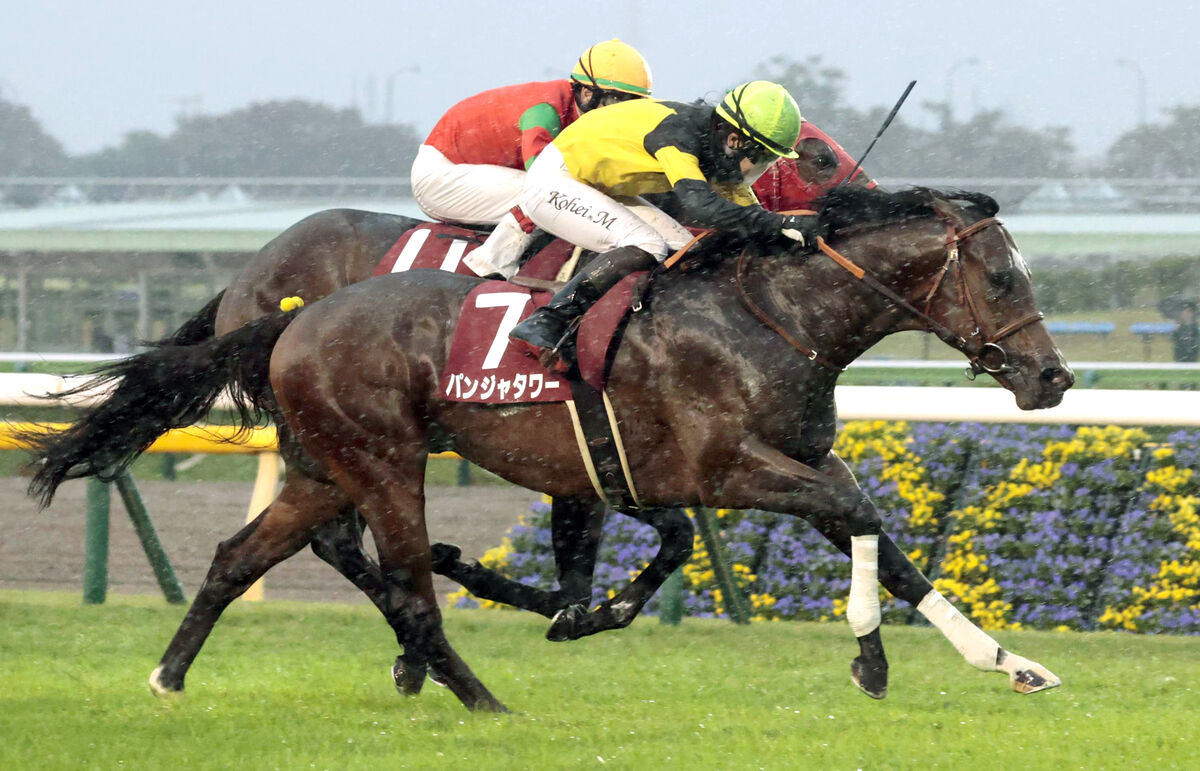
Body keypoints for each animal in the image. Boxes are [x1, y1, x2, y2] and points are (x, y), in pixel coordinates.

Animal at [25, 187, 1080, 710]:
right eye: (1000, 274)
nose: (1054, 377)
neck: (772, 316)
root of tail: (283, 310)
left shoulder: (789, 462)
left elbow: (888, 547)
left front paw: (1010, 663)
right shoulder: (728, 470)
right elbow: (855, 519)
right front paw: (869, 659)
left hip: (325, 467)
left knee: (242, 554)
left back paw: (170, 676)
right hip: (382, 461)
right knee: (401, 577)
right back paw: (470, 691)